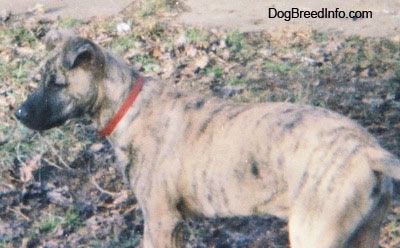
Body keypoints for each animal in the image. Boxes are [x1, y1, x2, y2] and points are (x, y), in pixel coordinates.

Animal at [14, 34, 400, 247]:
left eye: (56, 84)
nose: (17, 113)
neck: (128, 105)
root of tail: (369, 151)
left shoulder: (160, 220)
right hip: (363, 235)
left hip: (313, 233)